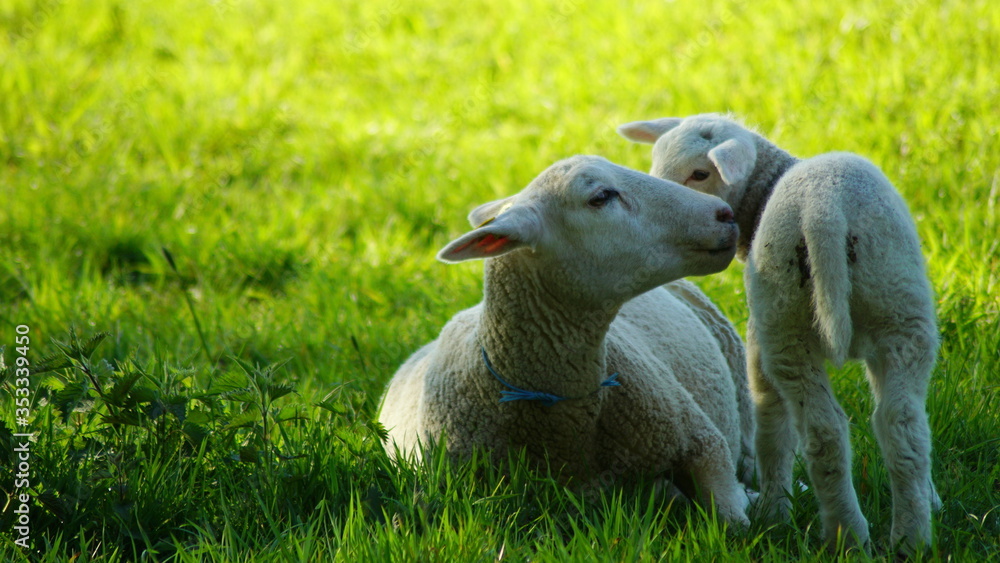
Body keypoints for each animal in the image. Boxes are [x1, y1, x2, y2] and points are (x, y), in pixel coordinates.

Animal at [618, 113, 940, 554]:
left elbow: (769, 420)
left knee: (825, 433)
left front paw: (773, 514)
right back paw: (912, 536)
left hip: (786, 321)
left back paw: (845, 535)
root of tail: (827, 210)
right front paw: (935, 499)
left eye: (701, 173)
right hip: (901, 308)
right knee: (903, 423)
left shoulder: (759, 339)